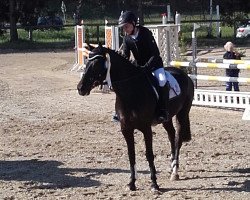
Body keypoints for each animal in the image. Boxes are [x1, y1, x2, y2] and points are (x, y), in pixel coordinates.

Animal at [77, 44, 194, 191]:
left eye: (97, 64)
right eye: (87, 62)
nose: (80, 88)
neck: (130, 92)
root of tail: (184, 74)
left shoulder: (146, 128)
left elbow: (149, 154)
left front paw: (154, 184)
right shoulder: (126, 129)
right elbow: (131, 155)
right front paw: (132, 183)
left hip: (182, 114)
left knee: (178, 139)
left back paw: (175, 172)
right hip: (166, 119)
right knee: (171, 135)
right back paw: (171, 166)